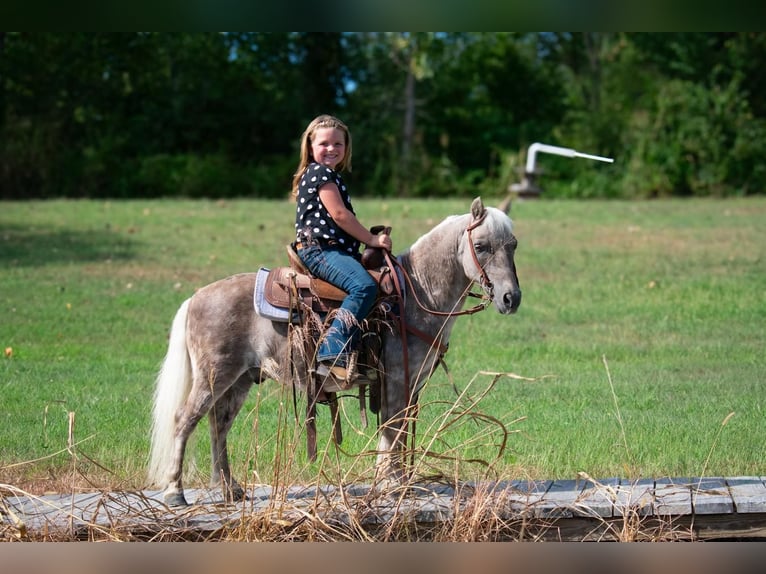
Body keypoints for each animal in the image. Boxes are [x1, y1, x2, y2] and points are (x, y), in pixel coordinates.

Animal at [148, 198, 520, 508]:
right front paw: (393, 484)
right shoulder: (397, 380)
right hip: (214, 375)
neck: (417, 294)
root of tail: (195, 297)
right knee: (184, 420)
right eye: (481, 246)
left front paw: (396, 483)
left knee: (218, 424)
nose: (510, 298)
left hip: (238, 379)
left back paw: (230, 488)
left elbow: (396, 431)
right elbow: (393, 430)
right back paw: (175, 492)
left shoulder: (408, 383)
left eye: (513, 245)